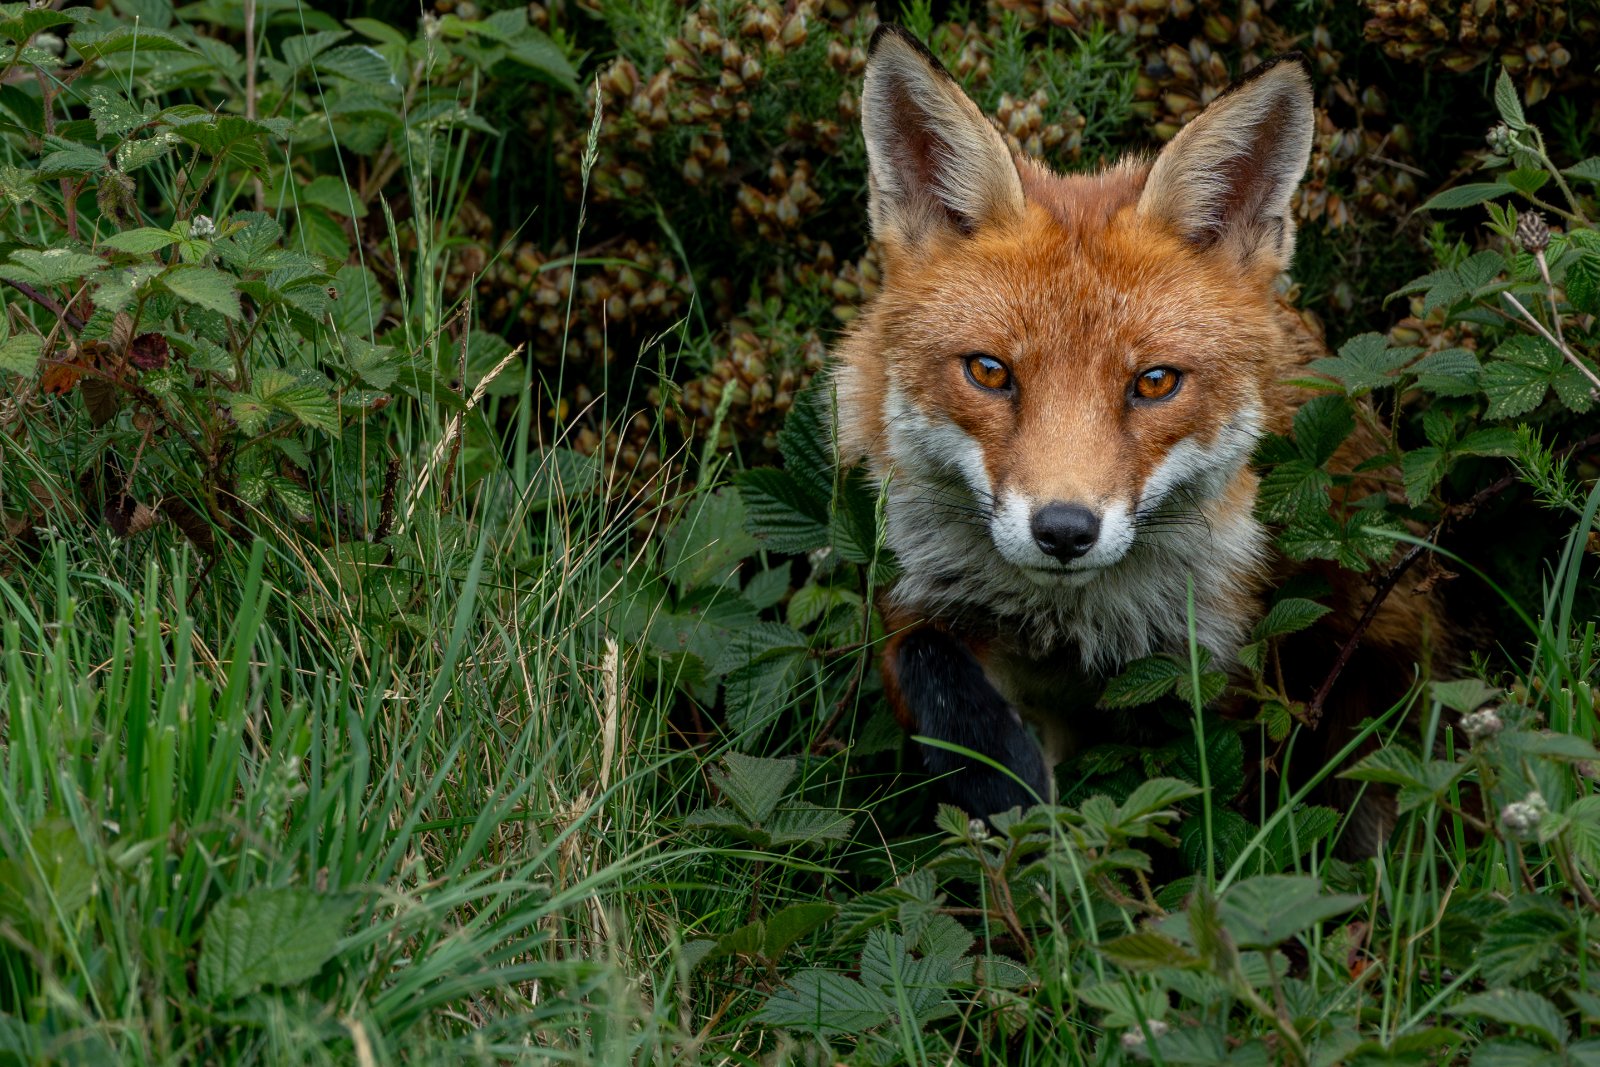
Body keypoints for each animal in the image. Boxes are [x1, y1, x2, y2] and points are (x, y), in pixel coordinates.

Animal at [831, 25, 1441, 844]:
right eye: (989, 372)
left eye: (1154, 383)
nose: (1063, 530)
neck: (1069, 628)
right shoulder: (917, 600)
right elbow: (930, 668)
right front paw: (1011, 795)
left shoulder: (1211, 677)